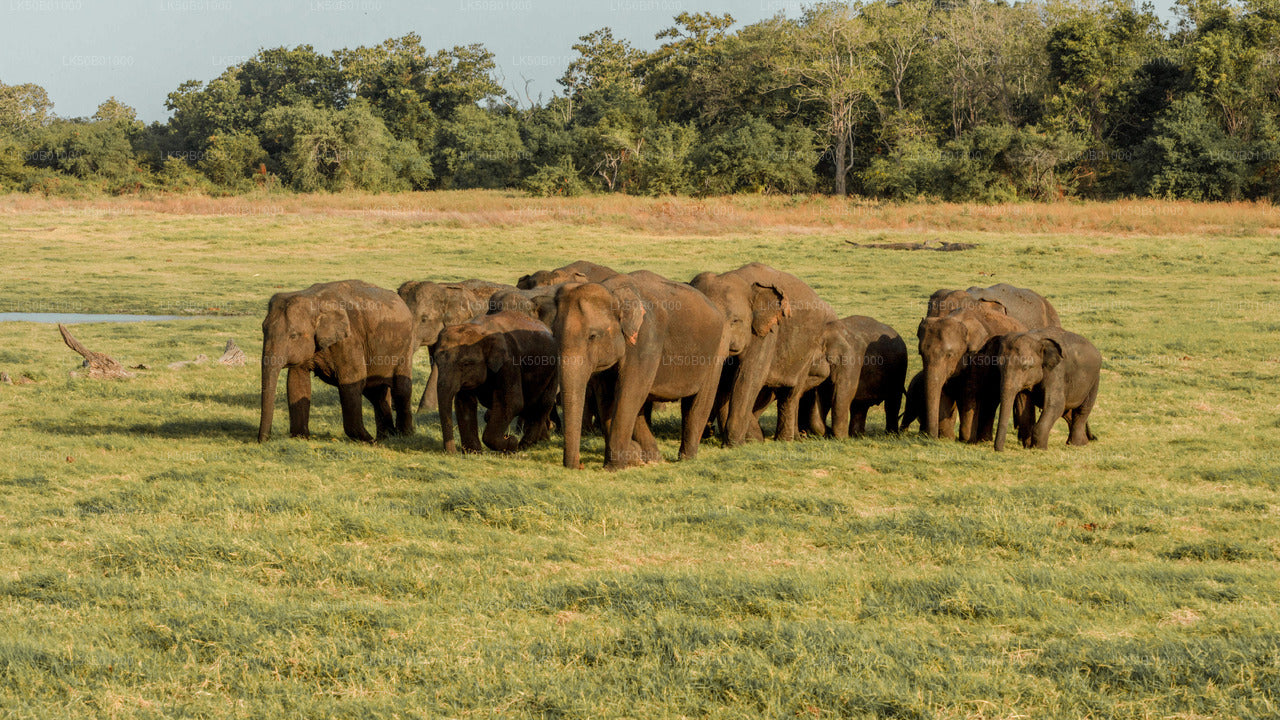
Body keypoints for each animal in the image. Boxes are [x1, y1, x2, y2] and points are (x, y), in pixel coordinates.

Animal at [258, 280, 414, 443]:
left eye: (293, 335)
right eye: (263, 329)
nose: (263, 440)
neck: (314, 298)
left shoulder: (349, 340)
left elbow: (351, 381)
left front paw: (368, 441)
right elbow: (296, 380)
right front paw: (300, 438)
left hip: (405, 346)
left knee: (401, 389)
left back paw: (403, 435)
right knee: (375, 393)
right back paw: (386, 437)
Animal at [434, 311, 559, 454]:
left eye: (466, 363)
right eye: (436, 360)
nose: (452, 452)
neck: (479, 328)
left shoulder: (509, 363)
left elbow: (512, 402)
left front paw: (511, 442)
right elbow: (464, 402)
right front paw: (474, 452)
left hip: (554, 371)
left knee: (544, 403)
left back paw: (525, 444)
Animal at [555, 270, 728, 470]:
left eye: (592, 336)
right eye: (554, 334)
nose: (579, 465)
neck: (614, 292)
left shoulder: (647, 339)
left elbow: (629, 393)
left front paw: (613, 467)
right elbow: (608, 397)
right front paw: (634, 456)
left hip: (716, 351)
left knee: (698, 403)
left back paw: (686, 459)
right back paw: (655, 458)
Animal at [690, 263, 837, 445]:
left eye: (735, 321)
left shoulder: (767, 332)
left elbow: (748, 376)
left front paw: (735, 444)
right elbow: (726, 382)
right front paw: (751, 438)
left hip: (808, 350)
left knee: (791, 393)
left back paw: (785, 440)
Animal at [916, 306, 1026, 441]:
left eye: (949, 355)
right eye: (921, 353)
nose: (931, 437)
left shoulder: (978, 356)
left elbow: (969, 394)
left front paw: (966, 439)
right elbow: (943, 390)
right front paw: (947, 437)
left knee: (990, 401)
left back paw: (983, 440)